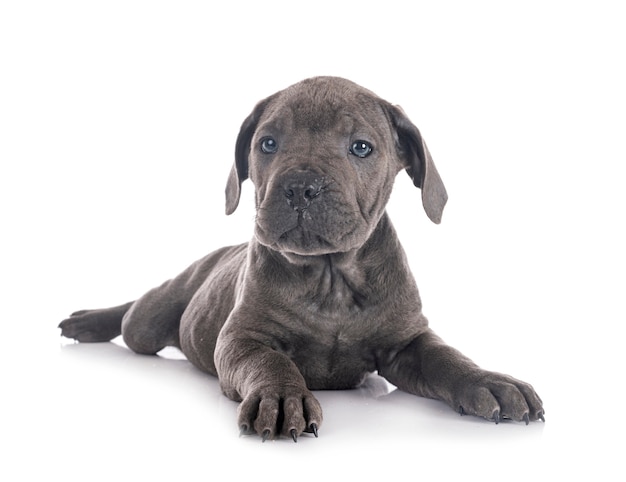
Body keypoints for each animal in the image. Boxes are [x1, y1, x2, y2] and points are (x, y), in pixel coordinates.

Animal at [59, 75, 544, 440]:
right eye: (268, 144)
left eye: (361, 147)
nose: (300, 187)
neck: (331, 277)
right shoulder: (243, 337)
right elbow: (270, 361)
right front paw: (281, 398)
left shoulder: (408, 340)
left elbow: (448, 358)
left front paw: (489, 382)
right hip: (152, 319)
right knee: (132, 315)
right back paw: (87, 321)